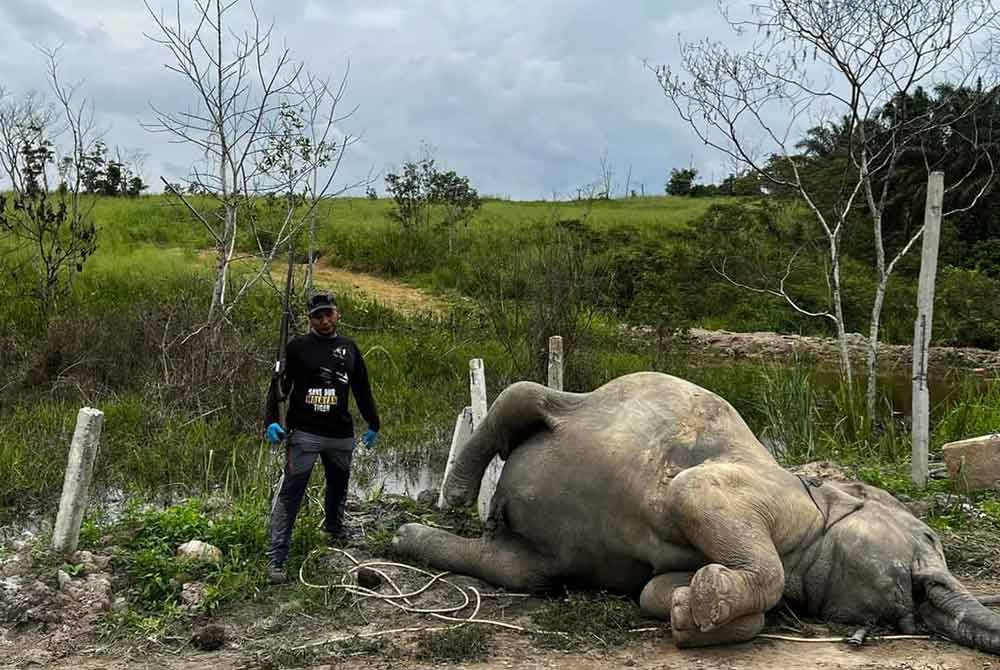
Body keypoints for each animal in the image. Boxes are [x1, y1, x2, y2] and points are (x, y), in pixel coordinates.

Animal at [394, 370, 1000, 652]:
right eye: (929, 536)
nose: (913, 613)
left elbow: (650, 592)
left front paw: (689, 610)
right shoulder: (761, 490)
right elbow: (692, 492)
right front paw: (707, 600)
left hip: (531, 552)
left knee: (520, 569)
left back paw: (408, 537)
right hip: (580, 403)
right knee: (524, 397)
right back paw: (452, 493)